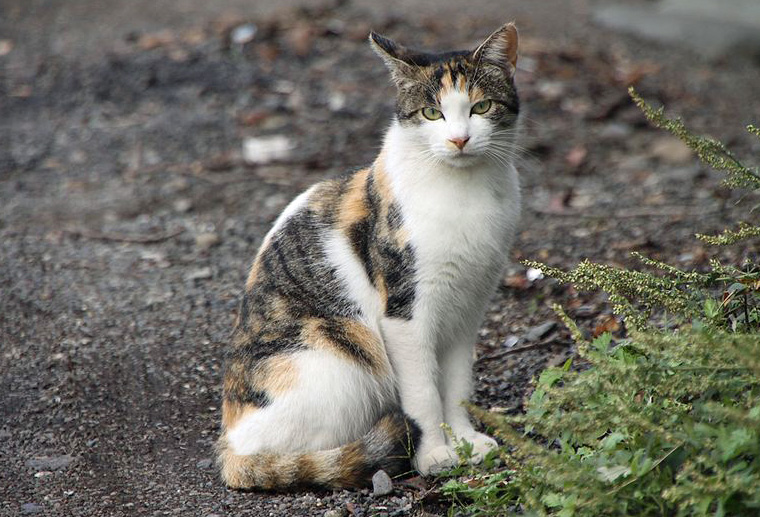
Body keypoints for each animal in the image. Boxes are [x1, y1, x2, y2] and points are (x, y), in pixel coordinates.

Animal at [217, 22, 520, 490]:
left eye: (481, 106)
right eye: (432, 114)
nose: (459, 139)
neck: (465, 192)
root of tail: (230, 446)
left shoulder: (468, 309)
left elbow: (457, 385)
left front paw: (465, 440)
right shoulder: (405, 314)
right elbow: (424, 393)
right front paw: (435, 454)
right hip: (338, 361)